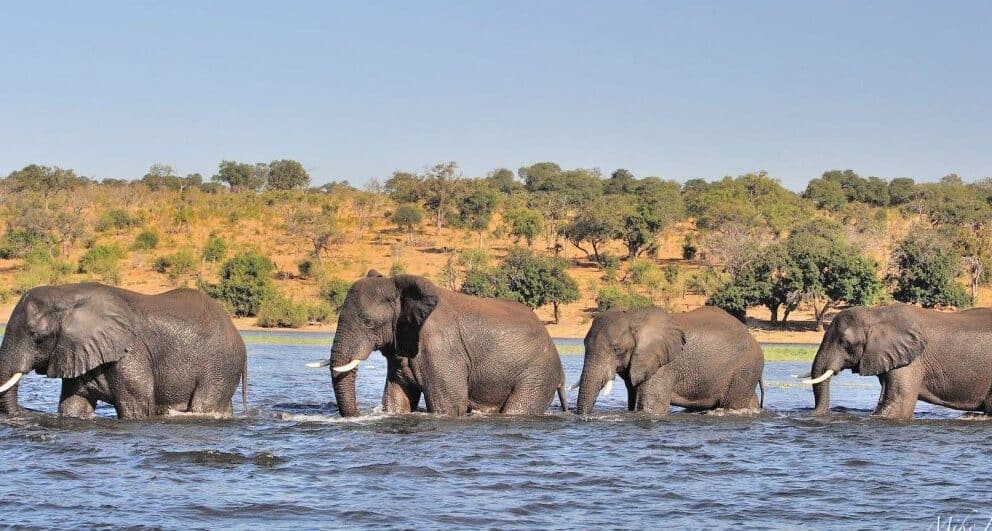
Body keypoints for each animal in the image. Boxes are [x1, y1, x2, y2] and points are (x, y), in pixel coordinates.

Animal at [0, 283, 247, 420]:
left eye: (37, 336)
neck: (66, 293)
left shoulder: (130, 353)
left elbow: (136, 408)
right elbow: (74, 405)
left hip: (220, 367)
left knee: (204, 404)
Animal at [310, 271, 567, 417]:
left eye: (368, 323)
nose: (356, 415)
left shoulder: (441, 348)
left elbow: (448, 406)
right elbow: (397, 400)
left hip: (537, 374)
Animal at [576, 306, 765, 415]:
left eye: (617, 350)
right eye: (583, 344)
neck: (633, 317)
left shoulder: (663, 366)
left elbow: (650, 408)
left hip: (744, 369)